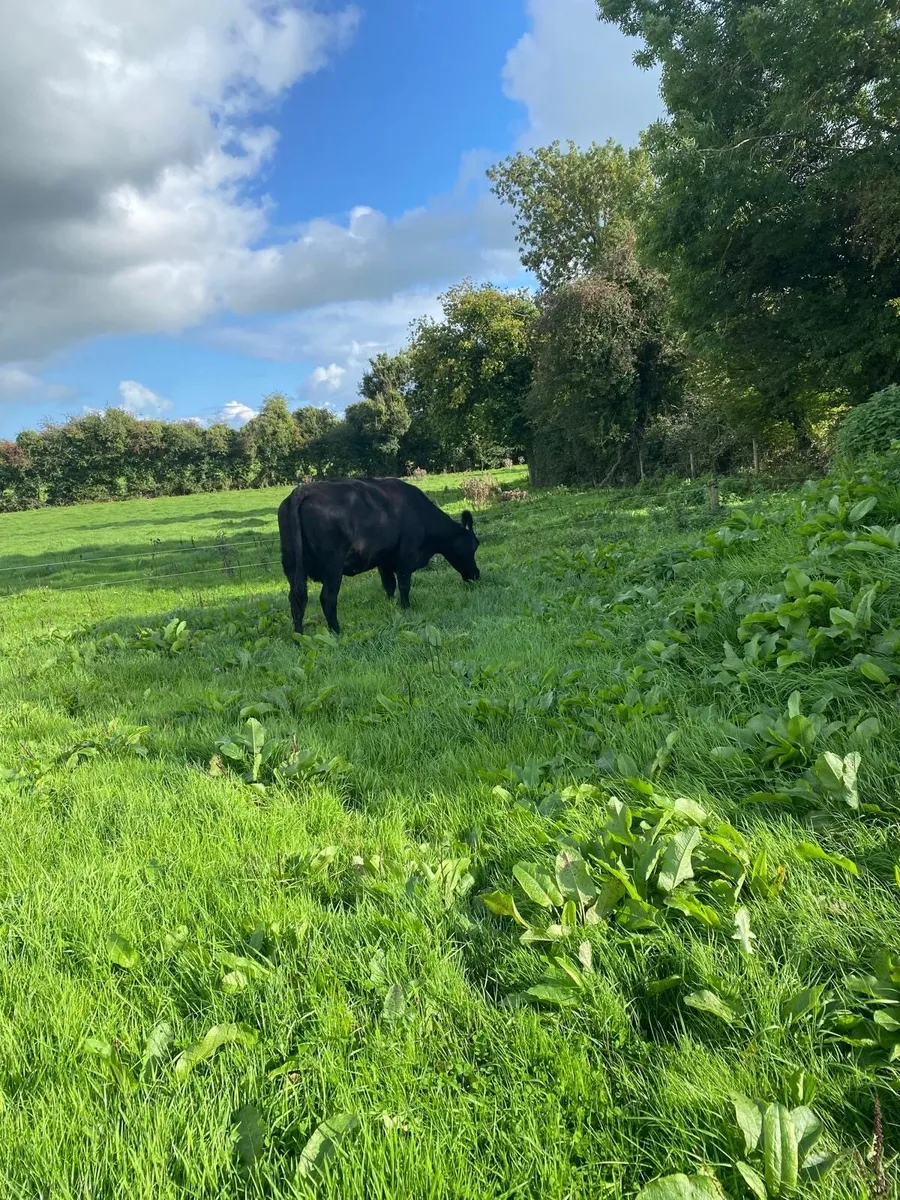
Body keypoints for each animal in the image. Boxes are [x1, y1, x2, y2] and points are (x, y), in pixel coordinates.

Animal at [278, 477, 480, 635]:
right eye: (474, 546)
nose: (476, 575)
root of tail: (301, 491)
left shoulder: (384, 559)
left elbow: (389, 585)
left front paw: (391, 606)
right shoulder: (406, 556)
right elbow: (404, 585)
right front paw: (406, 608)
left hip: (291, 565)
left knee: (297, 599)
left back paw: (298, 635)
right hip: (332, 567)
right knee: (327, 598)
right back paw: (336, 631)